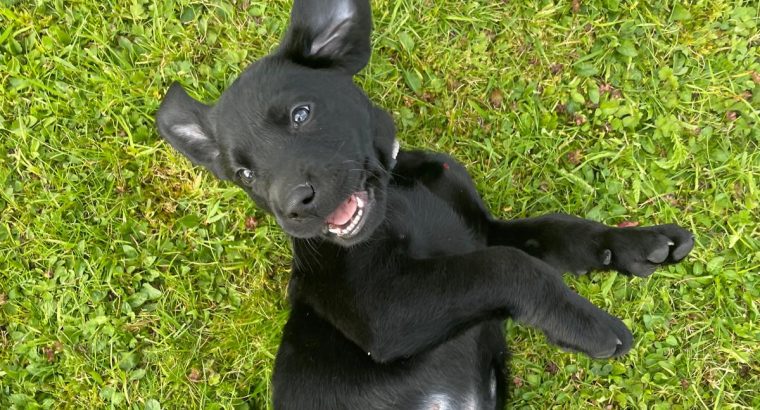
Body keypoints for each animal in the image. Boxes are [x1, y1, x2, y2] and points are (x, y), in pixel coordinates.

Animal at [156, 1, 696, 408]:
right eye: (244, 175)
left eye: (301, 114)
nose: (294, 209)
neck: (399, 188)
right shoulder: (382, 312)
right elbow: (507, 265)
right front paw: (586, 325)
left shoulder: (482, 229)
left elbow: (557, 231)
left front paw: (639, 242)